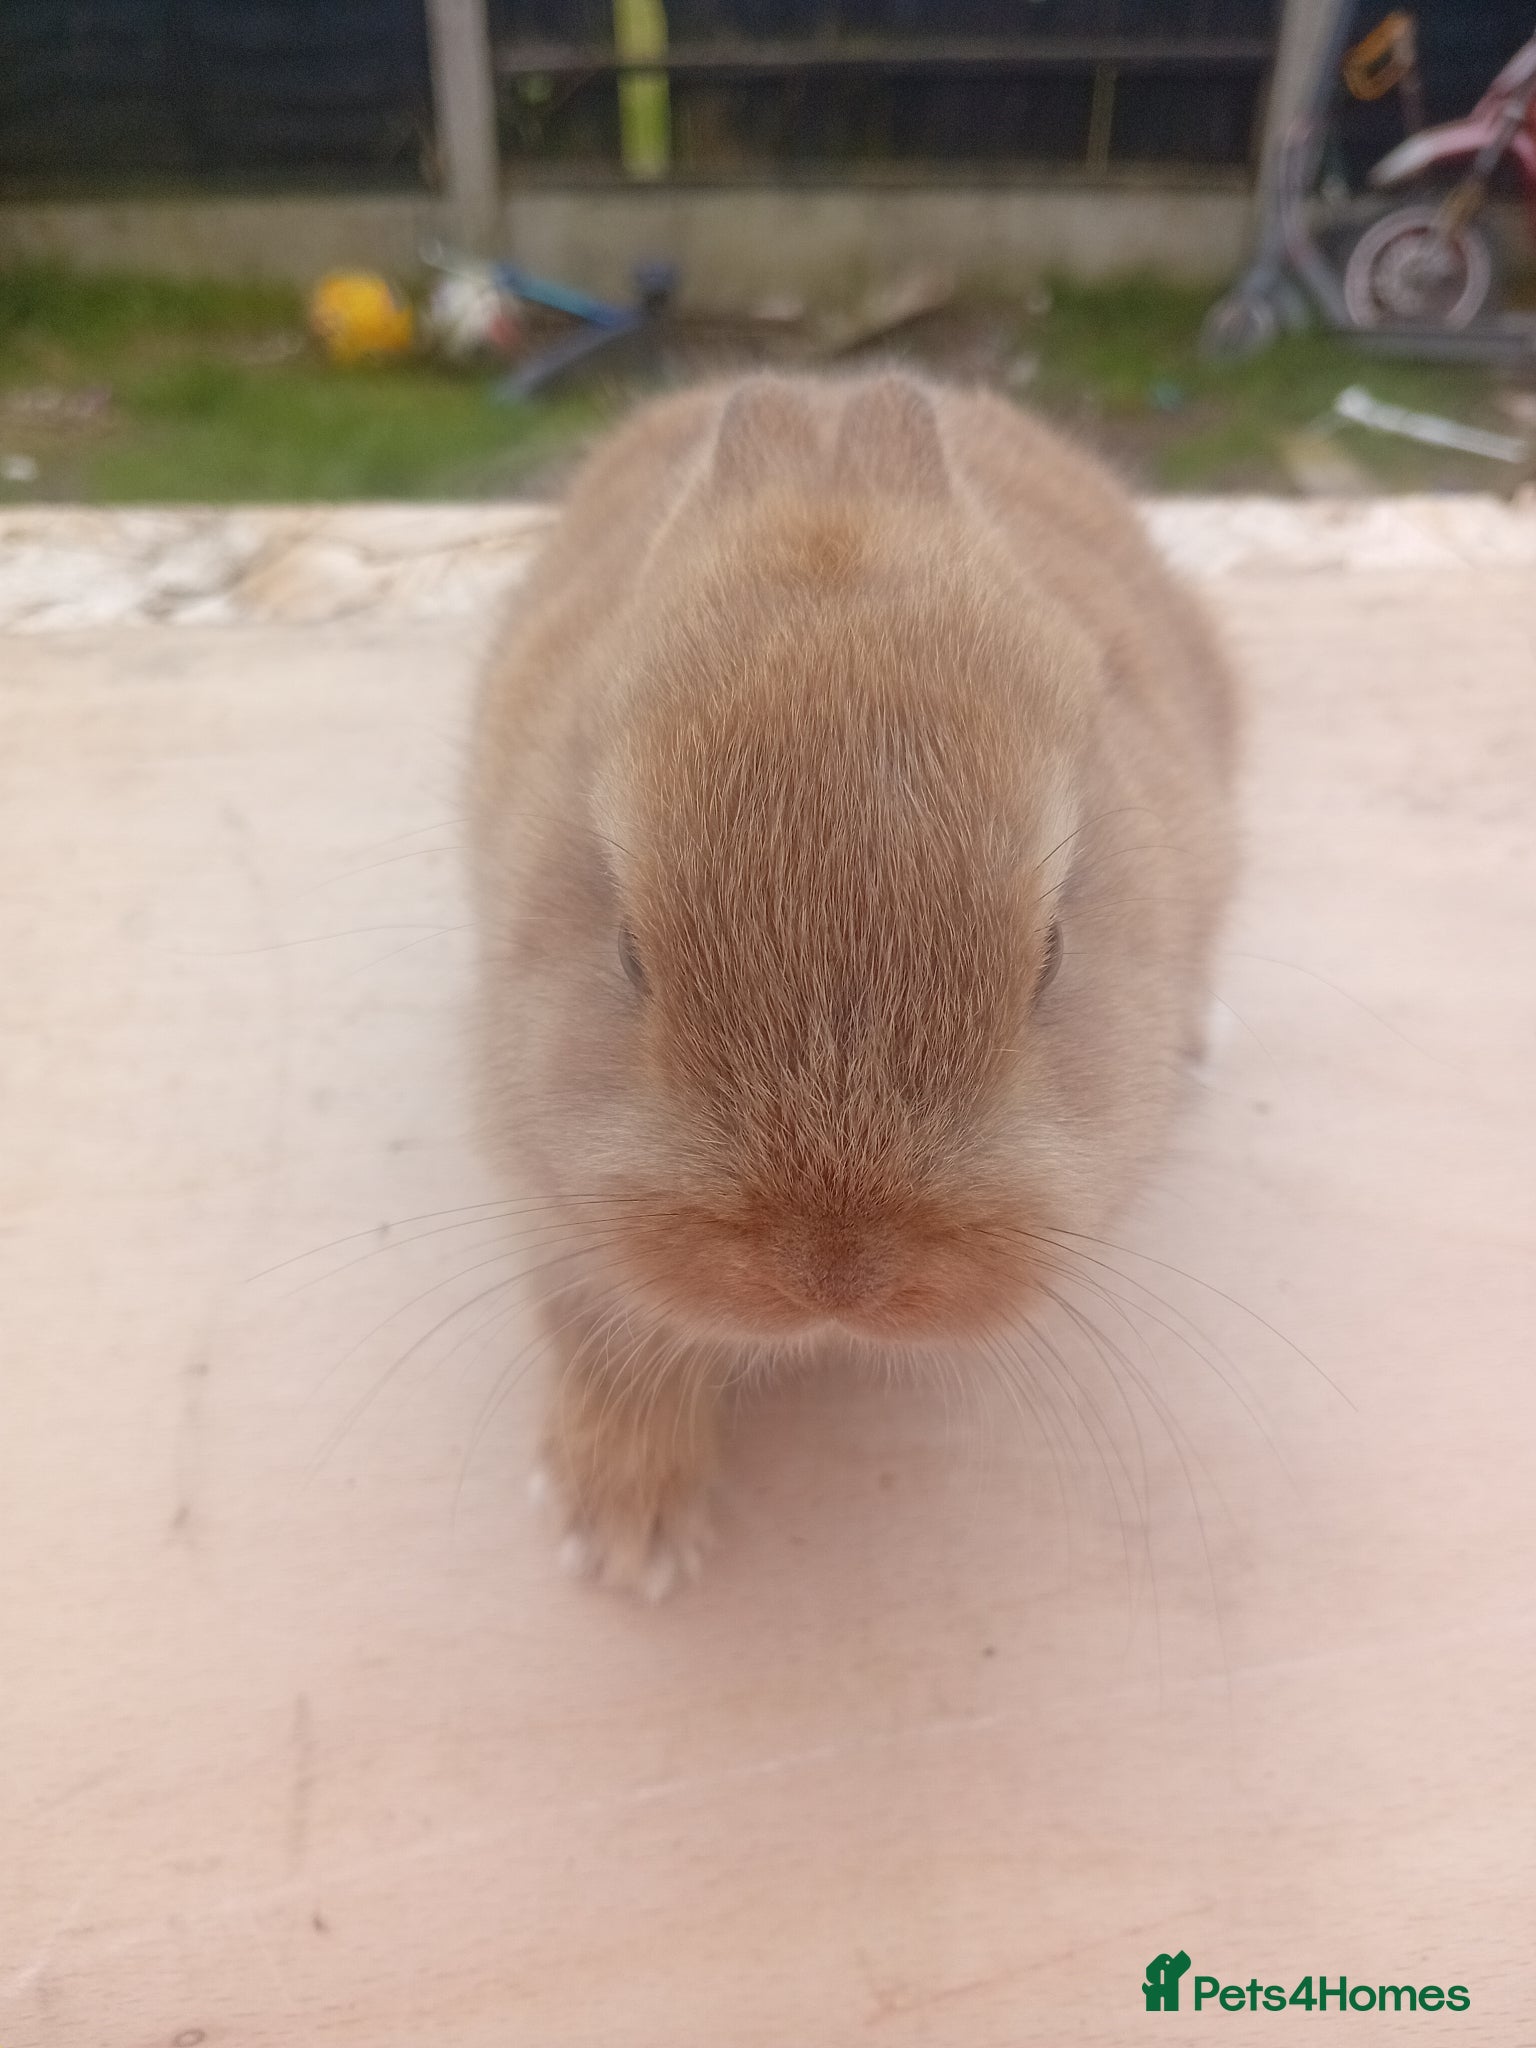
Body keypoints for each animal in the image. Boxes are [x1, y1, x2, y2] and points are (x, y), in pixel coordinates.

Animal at [467, 371, 1238, 1599]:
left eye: (1054, 953)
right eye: (629, 953)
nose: (836, 1273)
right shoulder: (542, 1174)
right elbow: (602, 1329)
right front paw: (627, 1539)